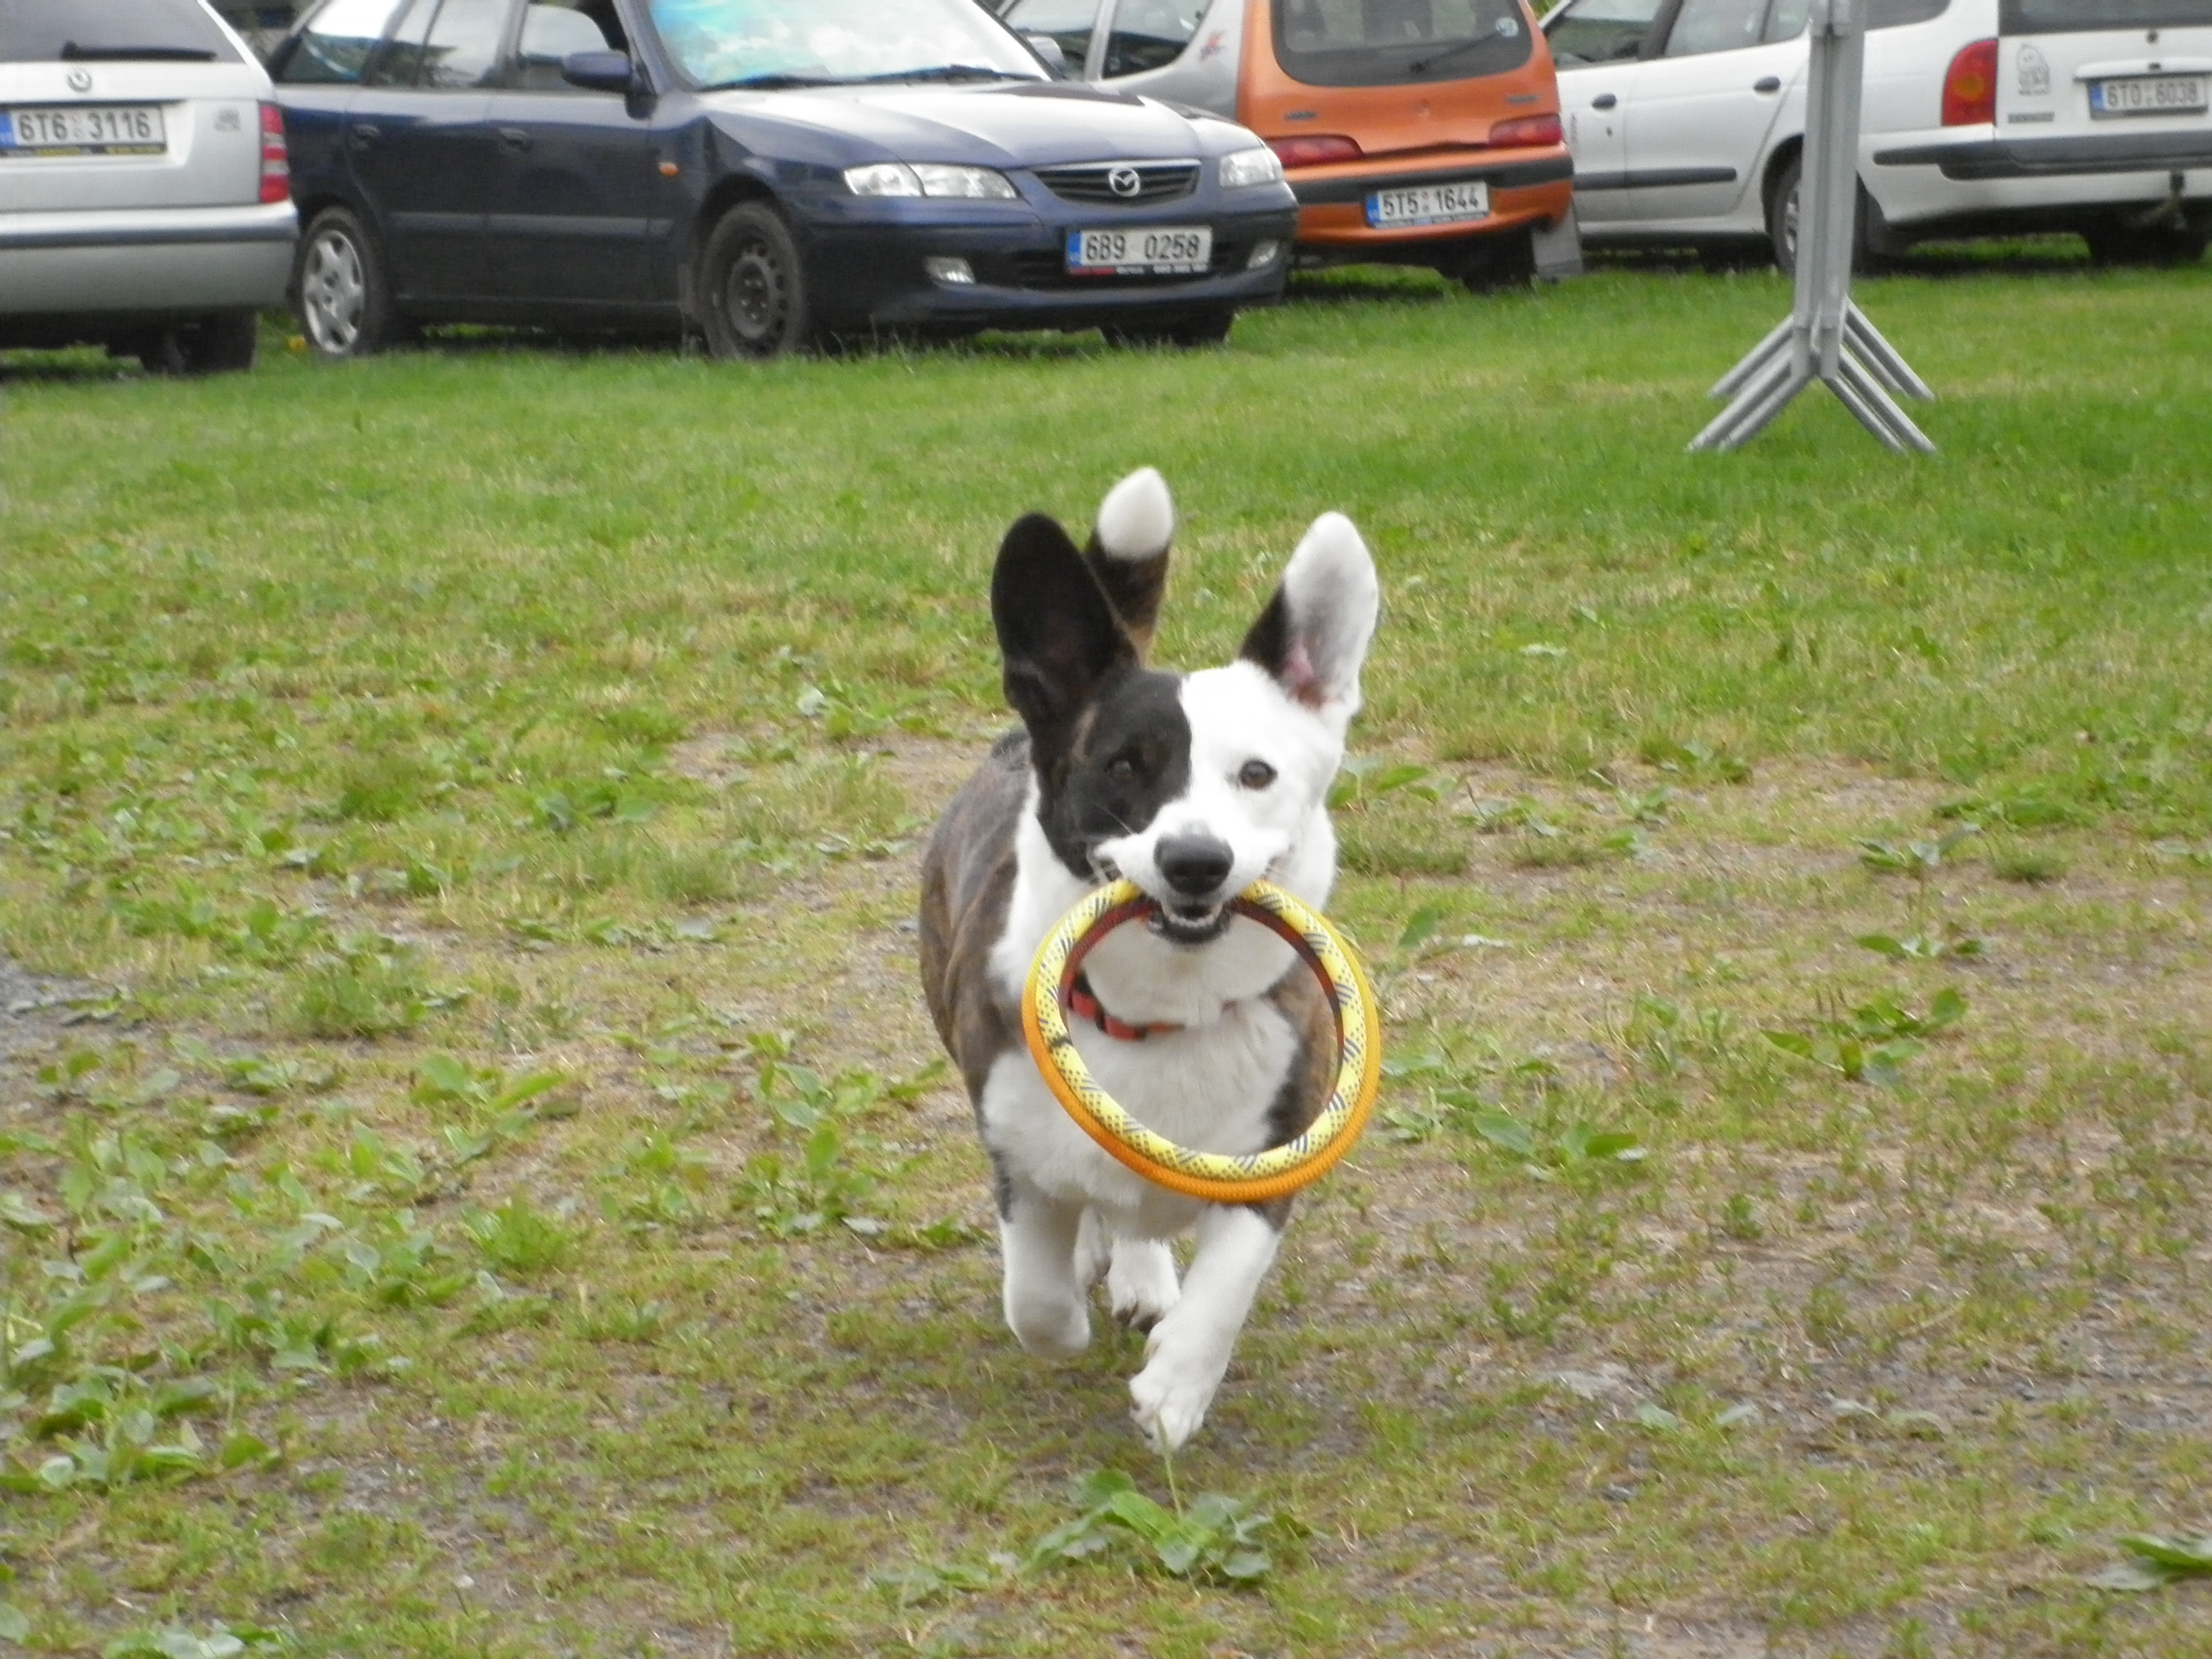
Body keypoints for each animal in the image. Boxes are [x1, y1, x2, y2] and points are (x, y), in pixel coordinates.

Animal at [920, 468, 1371, 1451]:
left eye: (1256, 774)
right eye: (1125, 767)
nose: (1195, 861)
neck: (1164, 1009)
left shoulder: (1277, 1154)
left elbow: (1228, 1286)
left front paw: (1178, 1387)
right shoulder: (1016, 1155)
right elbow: (1037, 1300)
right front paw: (1073, 1306)